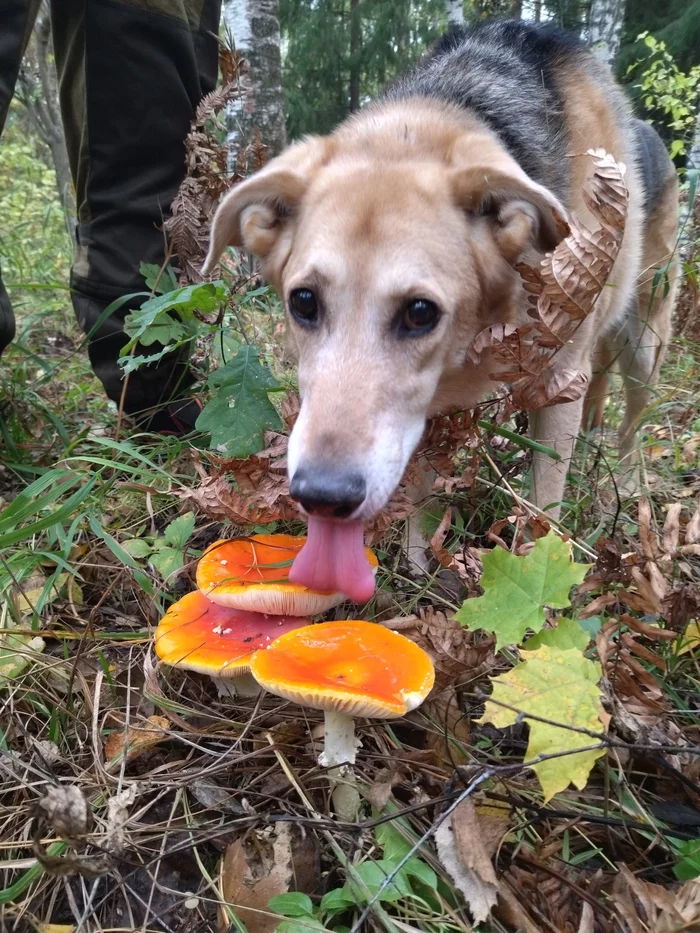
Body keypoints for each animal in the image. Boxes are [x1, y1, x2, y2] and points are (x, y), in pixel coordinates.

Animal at [202, 21, 680, 596]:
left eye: (420, 313)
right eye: (304, 302)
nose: (322, 497)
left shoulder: (562, 379)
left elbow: (543, 510)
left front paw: (540, 578)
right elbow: (420, 498)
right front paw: (416, 569)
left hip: (644, 344)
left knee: (631, 424)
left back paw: (628, 490)